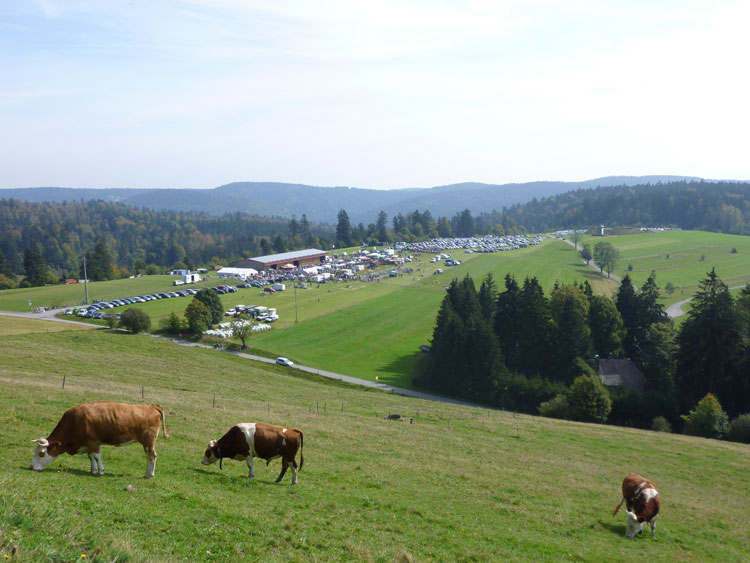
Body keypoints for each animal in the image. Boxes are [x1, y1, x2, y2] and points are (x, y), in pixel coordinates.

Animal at [30, 400, 170, 480]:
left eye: (41, 453)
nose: (31, 467)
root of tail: (152, 407)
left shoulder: (93, 441)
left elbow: (97, 456)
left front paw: (101, 471)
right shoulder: (88, 444)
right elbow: (91, 457)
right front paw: (92, 470)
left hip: (148, 442)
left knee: (152, 456)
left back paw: (149, 475)